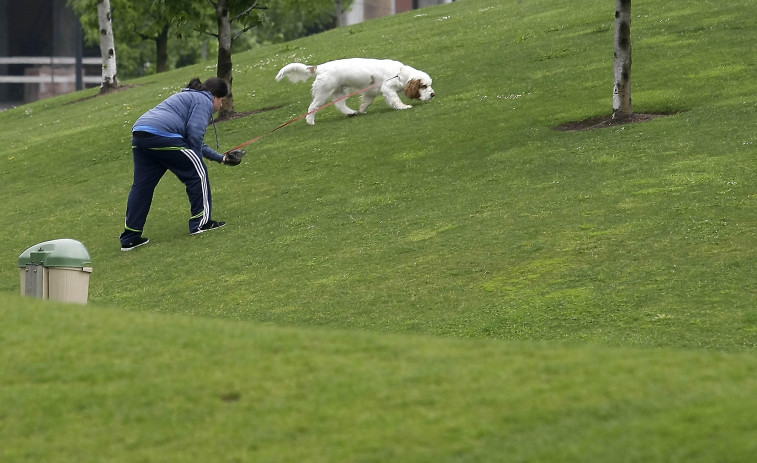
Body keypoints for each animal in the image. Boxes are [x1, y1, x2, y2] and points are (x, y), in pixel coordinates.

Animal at [274, 58, 434, 125]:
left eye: (429, 85)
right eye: (424, 86)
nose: (433, 94)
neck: (400, 73)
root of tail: (319, 67)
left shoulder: (371, 92)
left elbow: (366, 102)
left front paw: (362, 110)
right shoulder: (387, 88)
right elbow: (395, 100)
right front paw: (404, 107)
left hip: (340, 91)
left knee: (340, 105)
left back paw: (351, 112)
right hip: (323, 92)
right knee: (312, 107)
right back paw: (310, 121)